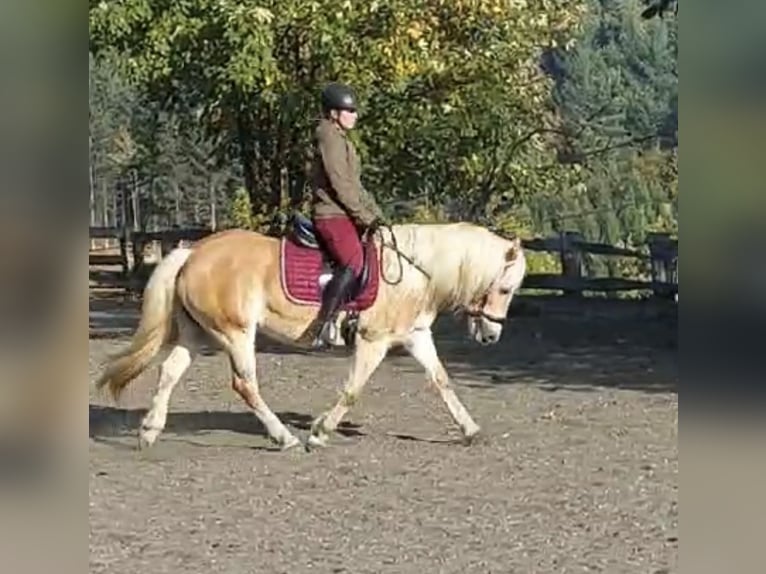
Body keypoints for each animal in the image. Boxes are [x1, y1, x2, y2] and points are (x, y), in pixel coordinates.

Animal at [94, 218, 528, 452]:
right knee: (245, 384)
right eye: (506, 288)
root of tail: (193, 253)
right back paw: (283, 437)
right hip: (236, 333)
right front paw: (319, 433)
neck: (412, 270)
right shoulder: (373, 340)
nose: (491, 336)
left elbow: (442, 381)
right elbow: (352, 390)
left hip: (198, 334)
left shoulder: (415, 335)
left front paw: (471, 430)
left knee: (169, 372)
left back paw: (149, 432)